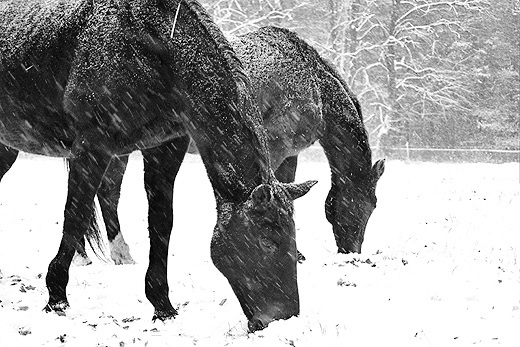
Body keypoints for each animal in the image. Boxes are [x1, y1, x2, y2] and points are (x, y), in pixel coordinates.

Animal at [0, 0, 314, 332]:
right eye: (267, 241)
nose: (283, 317)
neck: (151, 45)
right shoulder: (92, 146)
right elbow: (76, 214)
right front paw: (56, 298)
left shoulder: (166, 148)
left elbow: (162, 221)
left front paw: (162, 305)